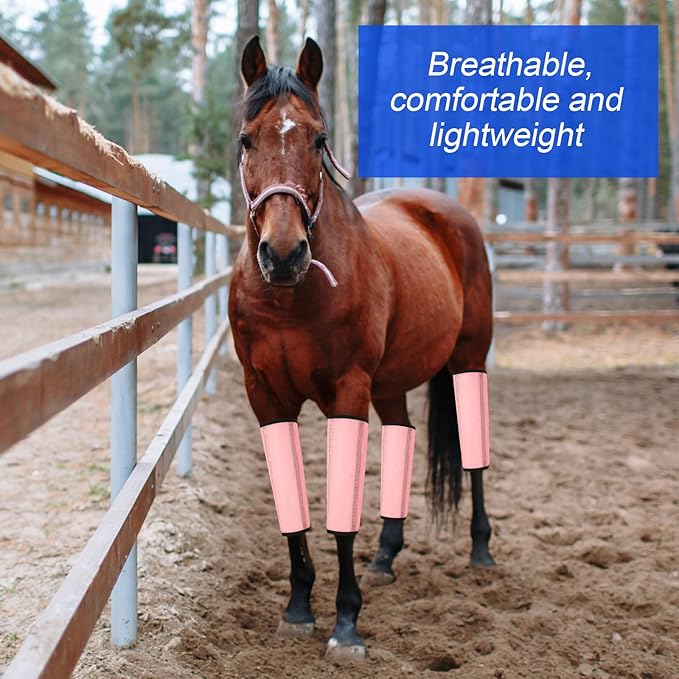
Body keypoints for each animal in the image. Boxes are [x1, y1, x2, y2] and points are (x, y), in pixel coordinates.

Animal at [228, 35, 494, 661]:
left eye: (318, 139)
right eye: (247, 139)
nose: (283, 254)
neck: (290, 297)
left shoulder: (348, 392)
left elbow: (340, 519)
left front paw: (346, 622)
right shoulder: (266, 398)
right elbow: (293, 511)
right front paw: (298, 607)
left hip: (470, 360)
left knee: (474, 454)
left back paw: (480, 548)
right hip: (391, 386)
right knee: (404, 434)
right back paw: (386, 556)